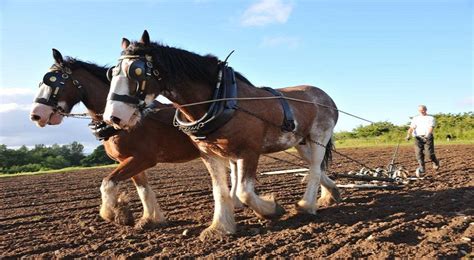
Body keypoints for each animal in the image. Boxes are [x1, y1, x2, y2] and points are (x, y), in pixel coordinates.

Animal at [29, 48, 200, 228]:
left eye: (53, 82)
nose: (35, 115)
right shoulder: (128, 160)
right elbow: (143, 189)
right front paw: (149, 219)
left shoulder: (144, 158)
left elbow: (108, 183)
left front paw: (112, 213)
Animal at [103, 30, 340, 240]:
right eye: (111, 73)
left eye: (137, 71)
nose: (112, 117)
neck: (221, 100)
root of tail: (325, 96)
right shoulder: (210, 154)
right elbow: (220, 191)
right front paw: (220, 227)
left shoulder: (249, 151)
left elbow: (244, 192)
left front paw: (271, 209)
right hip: (302, 142)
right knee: (316, 167)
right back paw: (331, 194)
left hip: (320, 136)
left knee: (314, 169)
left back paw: (306, 205)